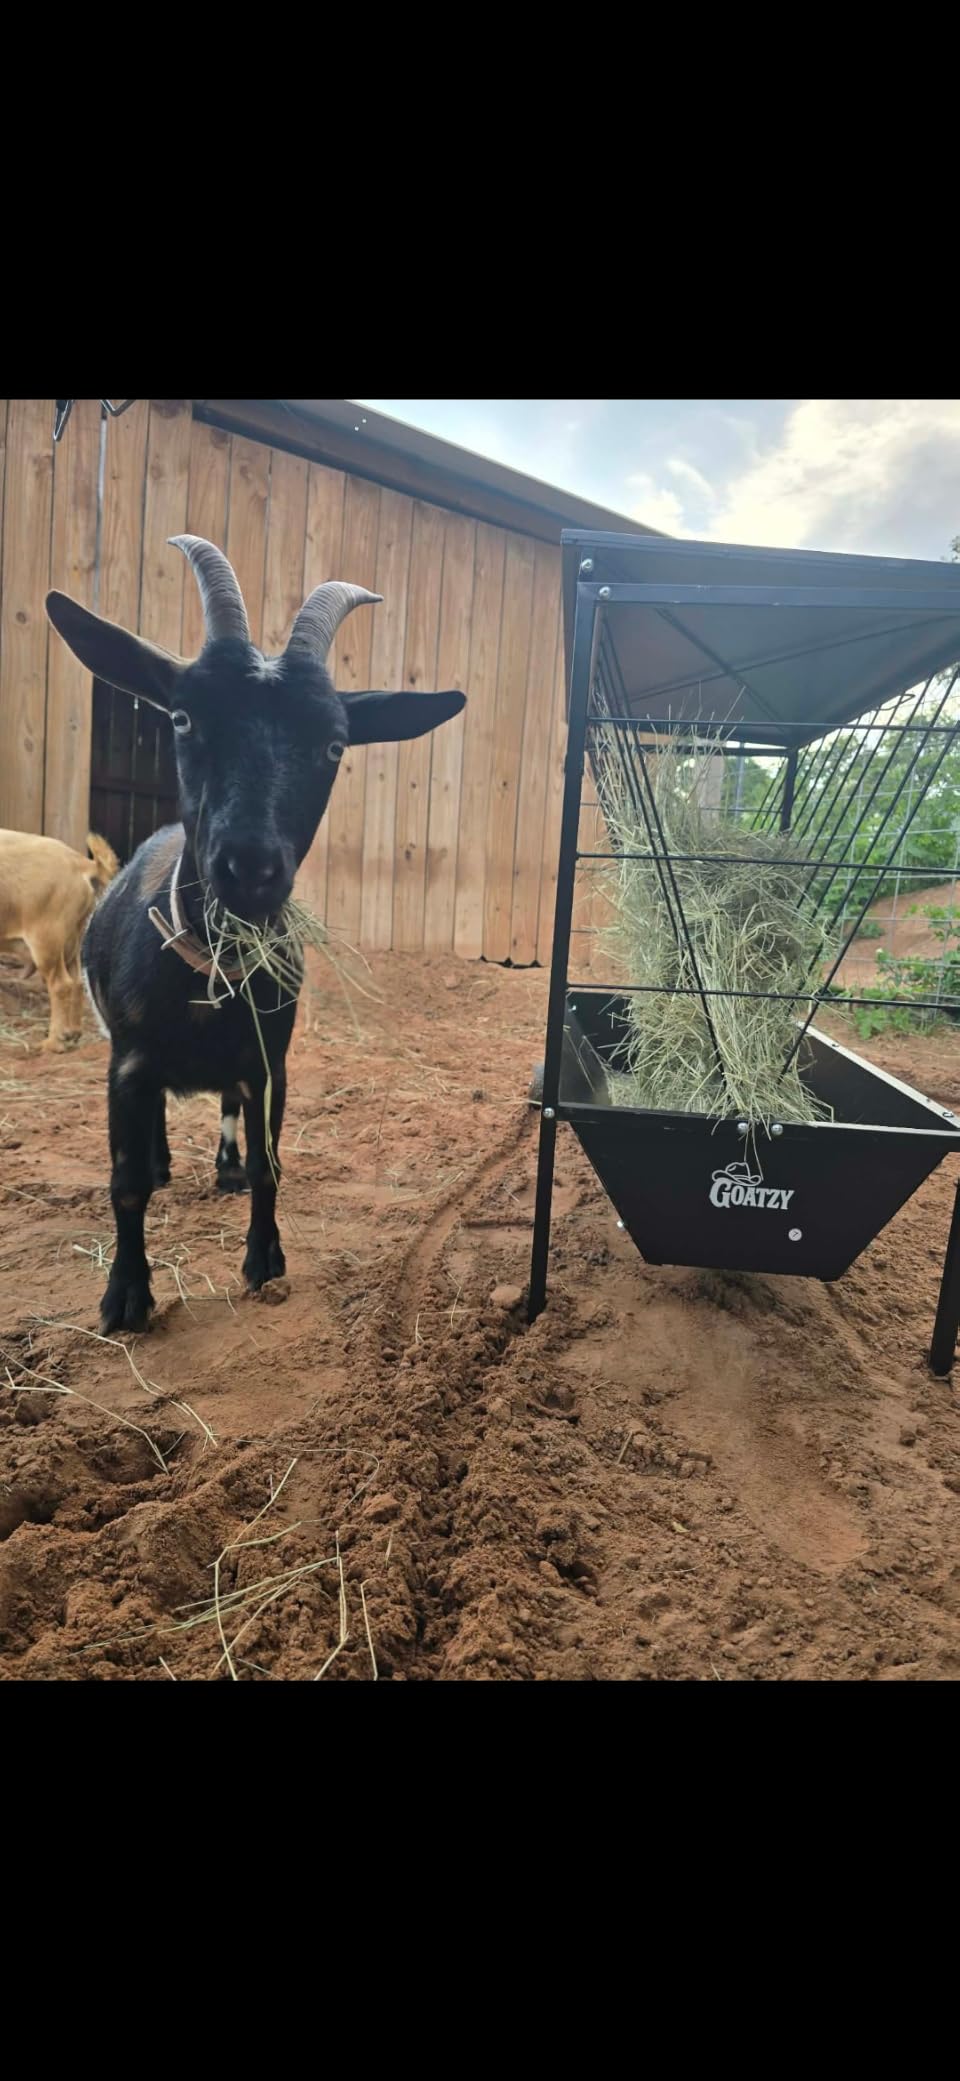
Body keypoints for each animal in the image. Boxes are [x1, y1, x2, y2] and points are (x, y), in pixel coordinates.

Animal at [0, 828, 119, 1048]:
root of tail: (81, 863)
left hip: (46, 939)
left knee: (61, 985)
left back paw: (53, 1043)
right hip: (74, 939)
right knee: (77, 982)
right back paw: (73, 1033)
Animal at [45, 535, 466, 1334]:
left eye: (334, 745)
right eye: (182, 717)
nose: (250, 867)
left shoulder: (272, 1060)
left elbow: (272, 1162)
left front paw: (265, 1257)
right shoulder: (128, 1064)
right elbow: (124, 1183)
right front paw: (126, 1294)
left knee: (230, 1112)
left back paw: (226, 1166)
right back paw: (165, 1163)